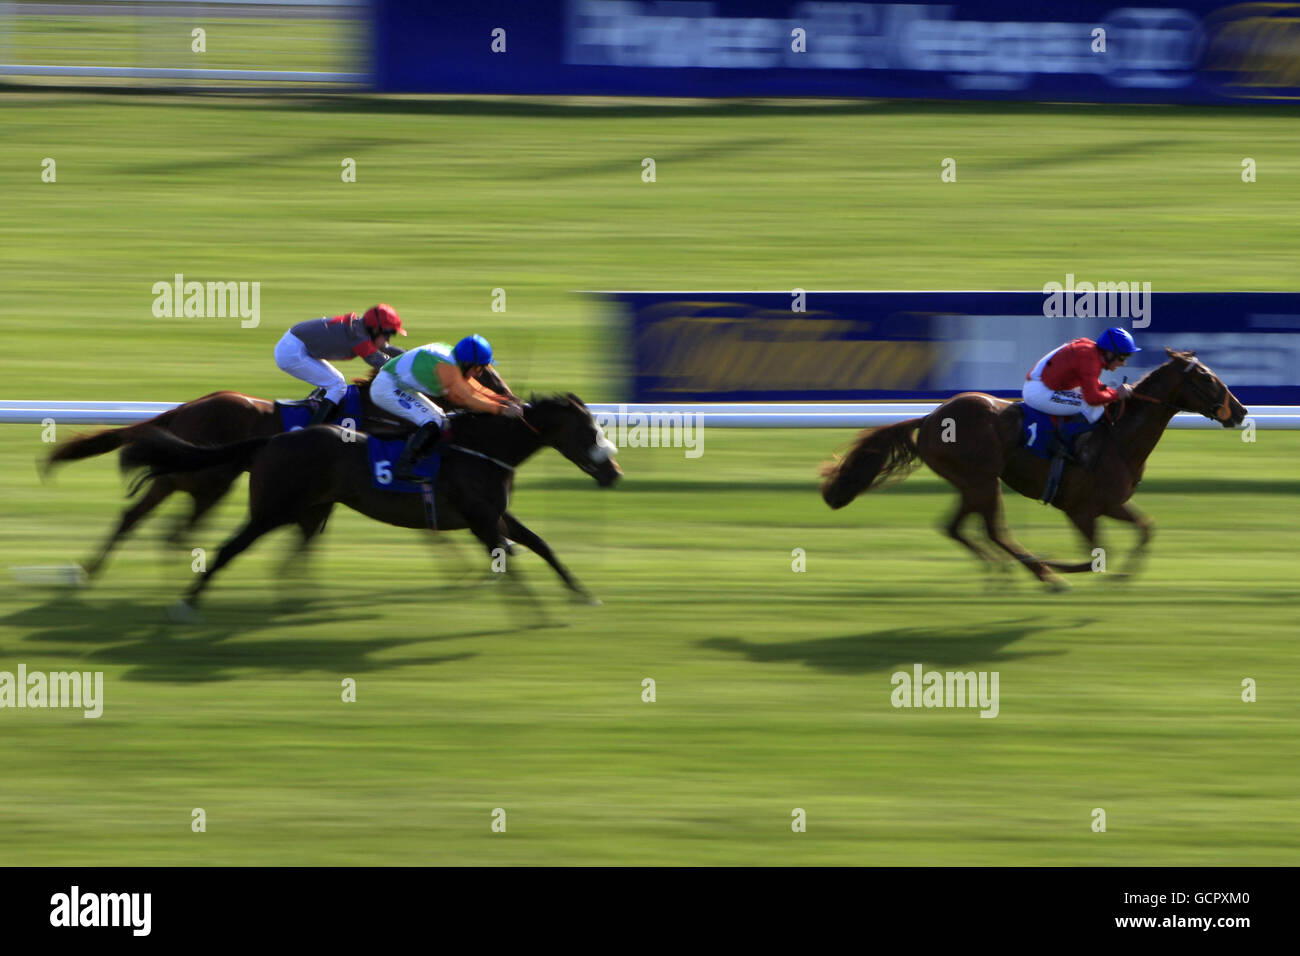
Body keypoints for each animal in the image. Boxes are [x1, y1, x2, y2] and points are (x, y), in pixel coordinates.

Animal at [45, 366, 512, 574]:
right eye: (486, 374)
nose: (509, 400)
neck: (379, 412)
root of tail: (186, 407)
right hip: (206, 482)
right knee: (165, 527)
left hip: (184, 478)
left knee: (136, 518)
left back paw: (91, 572)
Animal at [116, 395, 618, 613]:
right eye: (588, 430)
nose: (614, 472)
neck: (481, 448)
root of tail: (273, 440)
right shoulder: (480, 520)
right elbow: (508, 560)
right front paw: (534, 612)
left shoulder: (494, 514)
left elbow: (540, 545)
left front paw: (583, 593)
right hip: (271, 509)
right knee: (225, 549)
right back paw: (187, 601)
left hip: (308, 507)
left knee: (285, 557)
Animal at [821, 348, 1248, 587]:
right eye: (1207, 378)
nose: (1241, 411)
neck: (1118, 436)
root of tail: (929, 419)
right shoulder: (1081, 510)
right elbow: (1097, 557)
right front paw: (1057, 565)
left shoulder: (1111, 504)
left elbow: (1145, 529)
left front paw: (1124, 575)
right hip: (981, 480)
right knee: (994, 530)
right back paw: (1043, 574)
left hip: (972, 483)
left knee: (957, 527)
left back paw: (1004, 570)